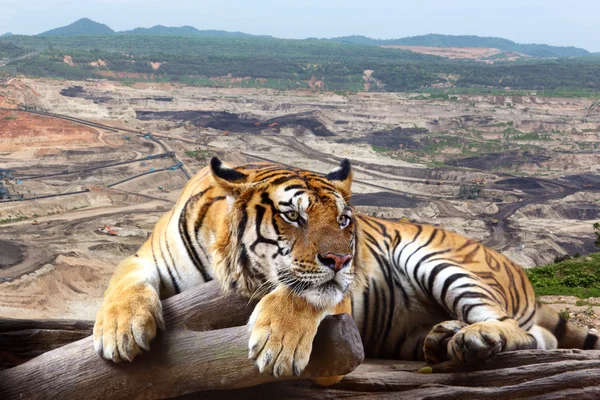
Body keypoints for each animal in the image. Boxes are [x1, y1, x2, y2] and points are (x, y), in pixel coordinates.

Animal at [94, 158, 600, 380]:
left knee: (525, 332)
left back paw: (475, 339)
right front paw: (120, 332)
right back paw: (442, 338)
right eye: (292, 215)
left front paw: (278, 346)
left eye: (342, 220)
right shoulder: (145, 257)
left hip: (436, 259)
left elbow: (299, 293)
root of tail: (517, 268)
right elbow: (121, 279)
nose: (341, 260)